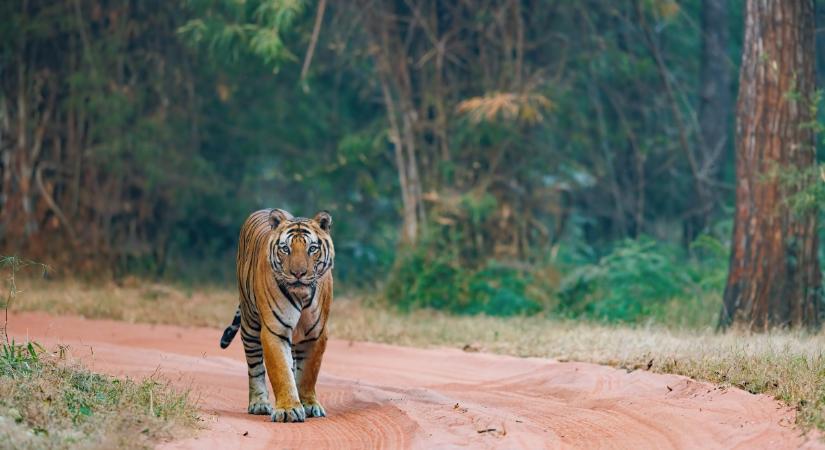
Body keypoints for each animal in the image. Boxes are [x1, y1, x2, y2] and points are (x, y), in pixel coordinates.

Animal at [220, 209, 336, 424]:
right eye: (285, 249)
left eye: (312, 249)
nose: (298, 273)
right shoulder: (275, 330)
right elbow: (281, 371)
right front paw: (289, 409)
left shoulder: (316, 334)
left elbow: (308, 373)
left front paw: (309, 405)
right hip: (249, 324)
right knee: (255, 366)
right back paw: (259, 404)